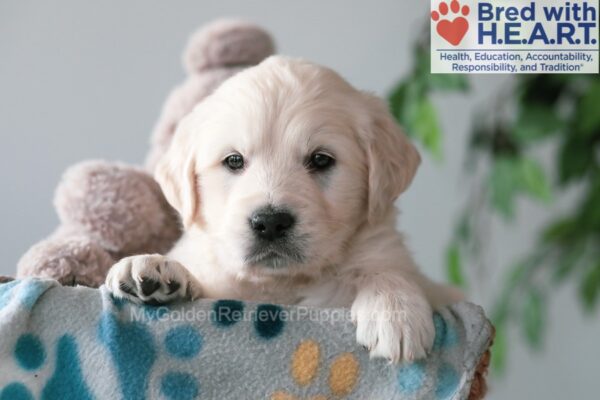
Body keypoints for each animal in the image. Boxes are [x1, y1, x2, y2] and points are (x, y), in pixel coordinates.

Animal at [105, 56, 462, 362]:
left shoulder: (390, 255)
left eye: (321, 159)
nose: (270, 223)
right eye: (233, 161)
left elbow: (388, 271)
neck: (283, 285)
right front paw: (152, 267)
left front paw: (396, 311)